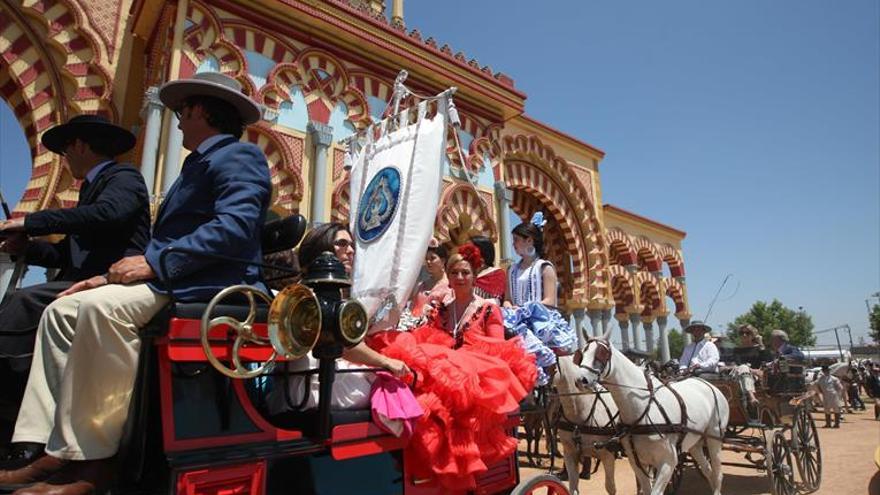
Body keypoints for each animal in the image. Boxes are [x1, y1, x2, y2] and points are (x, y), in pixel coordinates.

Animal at [576, 332, 728, 495]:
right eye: (582, 353)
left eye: (602, 353)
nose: (580, 380)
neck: (644, 408)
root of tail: (709, 385)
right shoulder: (636, 461)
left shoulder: (668, 461)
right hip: (695, 442)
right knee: (708, 470)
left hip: (714, 437)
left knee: (718, 473)